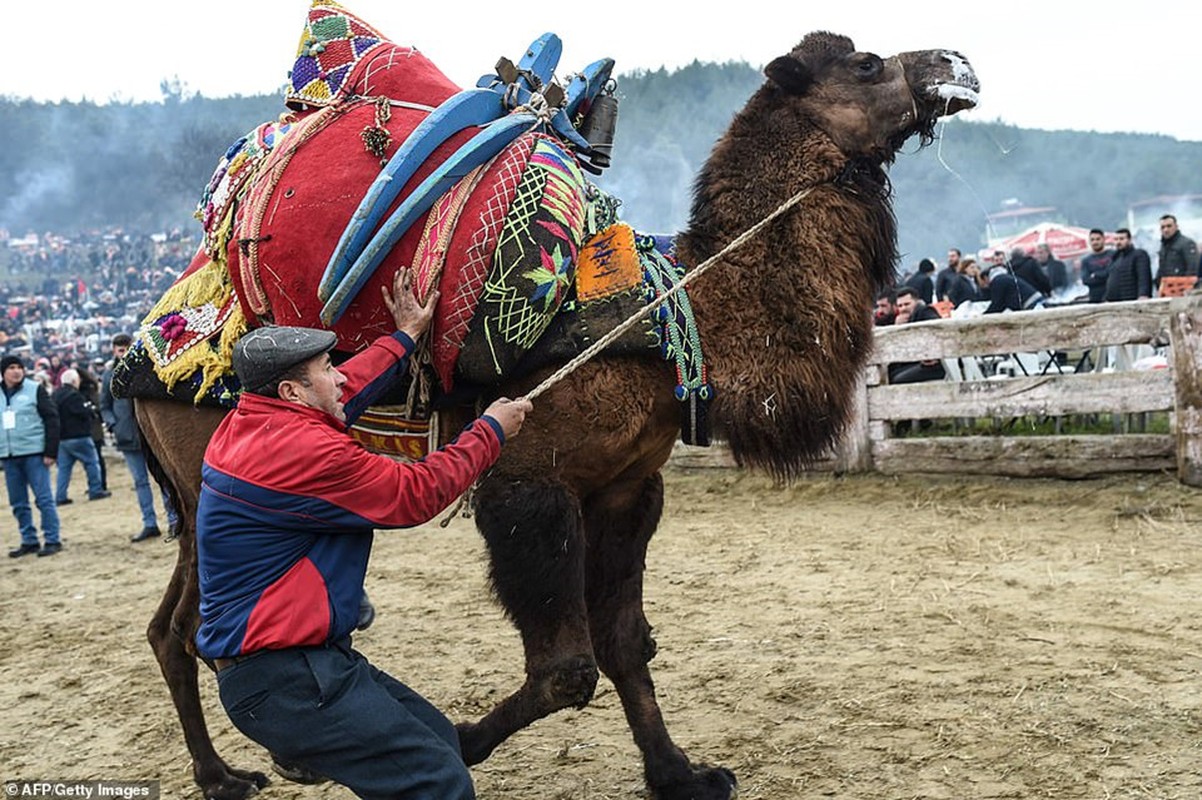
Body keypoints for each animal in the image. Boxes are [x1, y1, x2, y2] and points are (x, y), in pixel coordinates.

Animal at [131, 21, 976, 792]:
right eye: (867, 63)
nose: (956, 62)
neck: (675, 314)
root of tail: (137, 349)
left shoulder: (628, 486)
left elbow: (628, 644)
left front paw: (682, 774)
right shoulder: (530, 483)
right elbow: (568, 669)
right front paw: (460, 740)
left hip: (198, 497)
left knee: (172, 629)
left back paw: (242, 767)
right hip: (216, 474)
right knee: (201, 627)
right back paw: (242, 769)